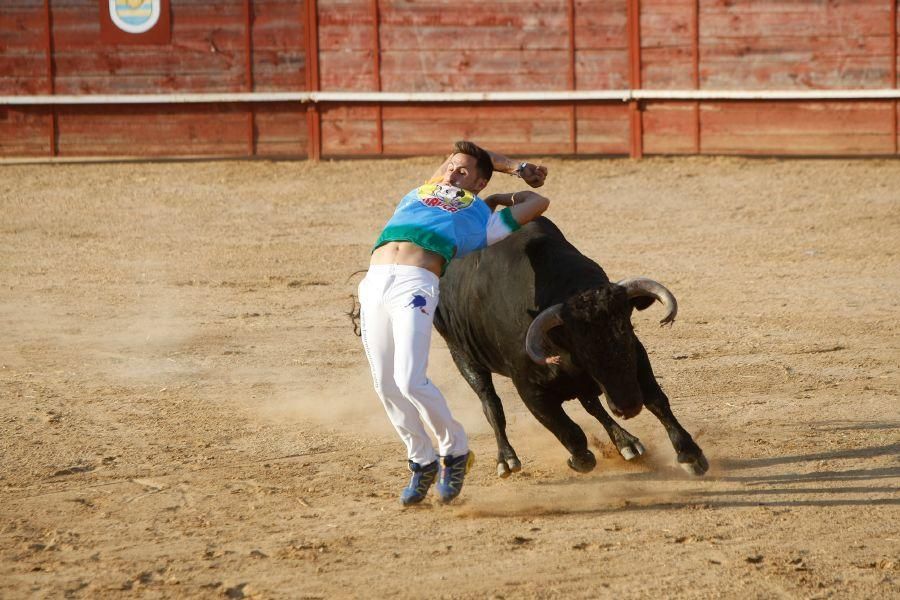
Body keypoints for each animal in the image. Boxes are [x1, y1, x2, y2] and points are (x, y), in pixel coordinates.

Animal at [430, 218, 712, 476]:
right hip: (461, 353)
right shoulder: (529, 389)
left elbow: (656, 400)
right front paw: (578, 459)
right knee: (490, 404)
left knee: (592, 404)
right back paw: (506, 460)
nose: (629, 406)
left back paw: (627, 443)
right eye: (583, 350)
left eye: (628, 330)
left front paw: (690, 454)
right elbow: (568, 430)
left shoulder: (638, 357)